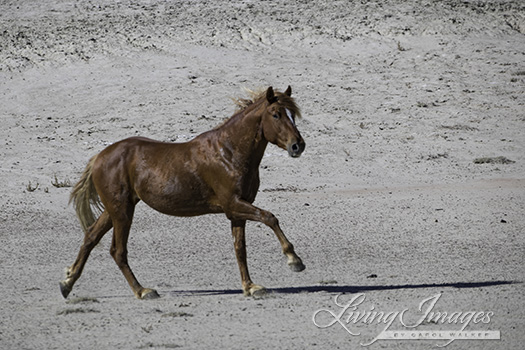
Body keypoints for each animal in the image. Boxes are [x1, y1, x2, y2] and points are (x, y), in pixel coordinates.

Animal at [60, 86, 308, 300]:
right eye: (275, 114)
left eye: (293, 115)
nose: (298, 146)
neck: (229, 152)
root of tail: (99, 157)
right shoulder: (233, 204)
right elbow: (270, 217)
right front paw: (294, 260)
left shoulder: (238, 210)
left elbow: (240, 248)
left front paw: (250, 287)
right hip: (122, 211)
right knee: (117, 251)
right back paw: (142, 291)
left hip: (115, 209)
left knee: (90, 237)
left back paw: (67, 283)